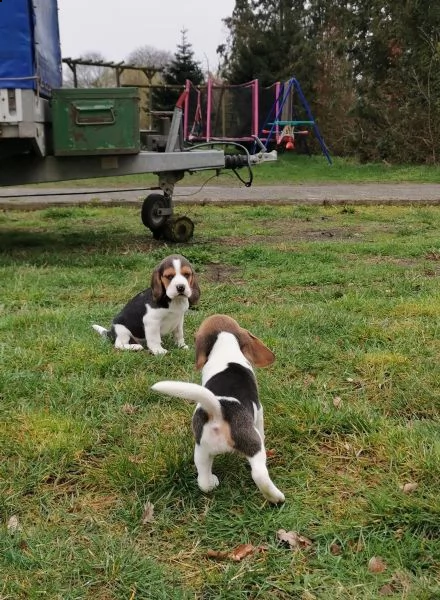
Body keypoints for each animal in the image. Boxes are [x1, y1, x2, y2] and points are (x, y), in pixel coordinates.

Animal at [151, 316, 286, 504]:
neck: (224, 346)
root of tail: (219, 410)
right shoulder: (259, 411)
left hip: (201, 450)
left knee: (203, 482)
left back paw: (212, 482)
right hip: (252, 444)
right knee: (260, 475)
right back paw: (277, 498)